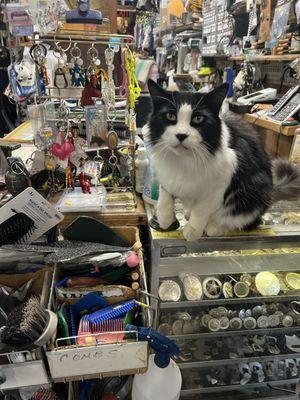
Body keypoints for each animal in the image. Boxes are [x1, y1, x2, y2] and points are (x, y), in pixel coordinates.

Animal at [144, 79, 300, 239]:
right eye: (170, 116)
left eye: (198, 119)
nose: (181, 135)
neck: (184, 161)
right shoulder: (167, 175)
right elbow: (165, 196)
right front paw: (164, 219)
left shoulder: (217, 187)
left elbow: (200, 210)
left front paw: (193, 230)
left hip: (253, 192)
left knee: (241, 219)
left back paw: (214, 227)